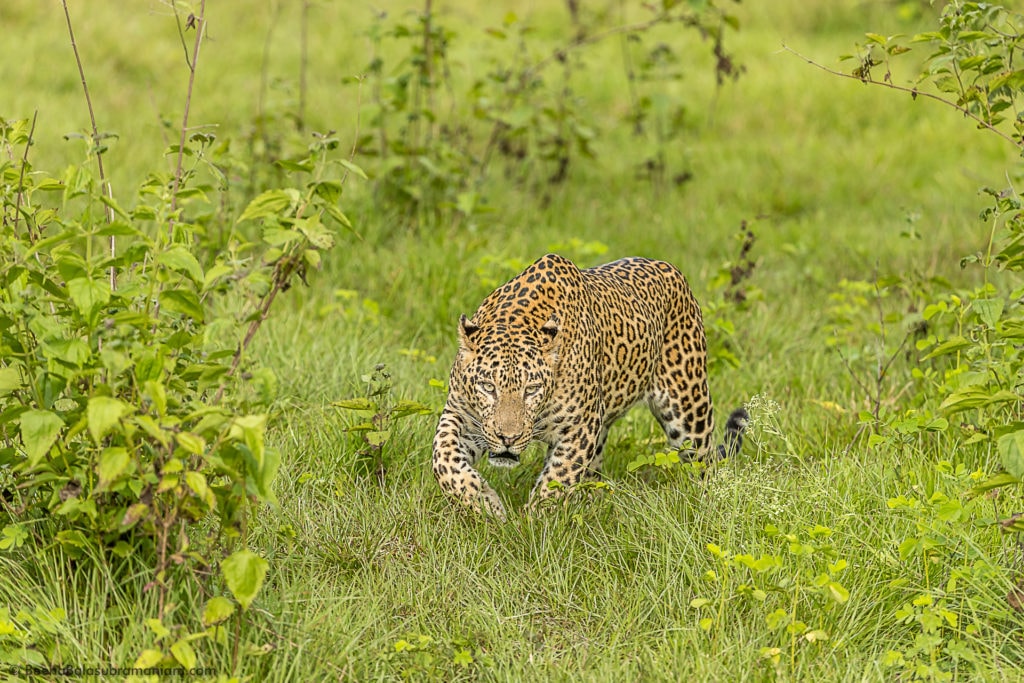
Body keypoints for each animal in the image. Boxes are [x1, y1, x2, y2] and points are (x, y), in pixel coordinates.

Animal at [428, 254, 749, 518]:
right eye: (487, 387)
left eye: (531, 389)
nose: (508, 437)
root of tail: (670, 268)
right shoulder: (460, 414)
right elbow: (443, 459)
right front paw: (484, 503)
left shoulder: (579, 427)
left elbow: (557, 480)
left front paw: (531, 526)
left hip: (688, 410)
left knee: (703, 464)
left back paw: (706, 506)